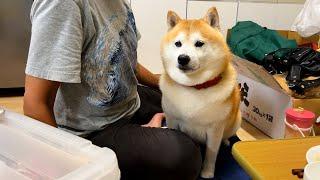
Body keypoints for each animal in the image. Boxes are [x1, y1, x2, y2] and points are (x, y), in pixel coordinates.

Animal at [159, 6, 241, 177]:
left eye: (199, 43)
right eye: (178, 43)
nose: (183, 58)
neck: (194, 87)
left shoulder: (215, 129)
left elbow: (211, 153)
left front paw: (207, 172)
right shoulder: (172, 119)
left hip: (237, 120)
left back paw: (226, 140)